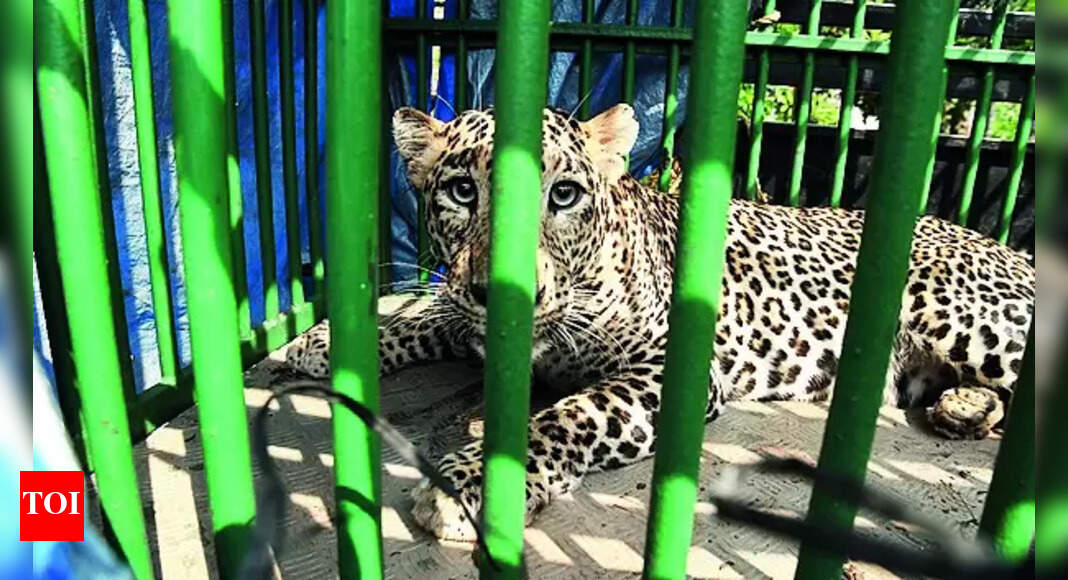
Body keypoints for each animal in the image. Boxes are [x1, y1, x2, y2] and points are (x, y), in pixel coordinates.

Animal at [285, 103, 1035, 541]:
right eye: (462, 190)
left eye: (564, 194)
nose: (507, 292)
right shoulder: (468, 316)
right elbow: (424, 319)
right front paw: (319, 342)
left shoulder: (666, 371)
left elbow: (571, 416)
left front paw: (470, 485)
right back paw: (963, 409)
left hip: (964, 315)